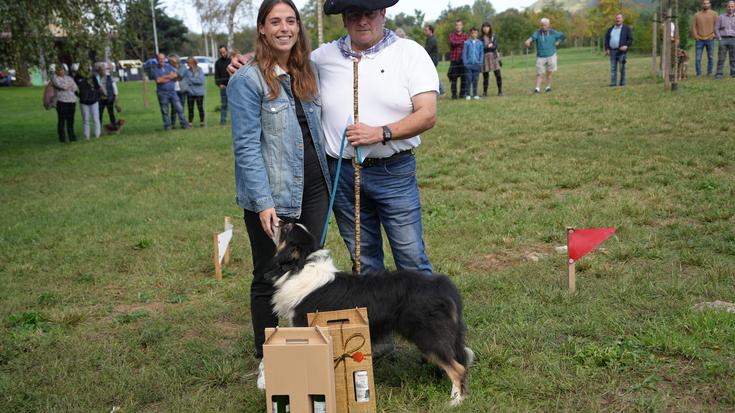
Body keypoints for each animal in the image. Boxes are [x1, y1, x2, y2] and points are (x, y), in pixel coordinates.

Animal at [268, 224, 474, 404]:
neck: (301, 265)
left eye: (286, 229)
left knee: (458, 368)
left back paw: (455, 402)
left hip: (428, 334)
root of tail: (442, 285)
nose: (277, 221)